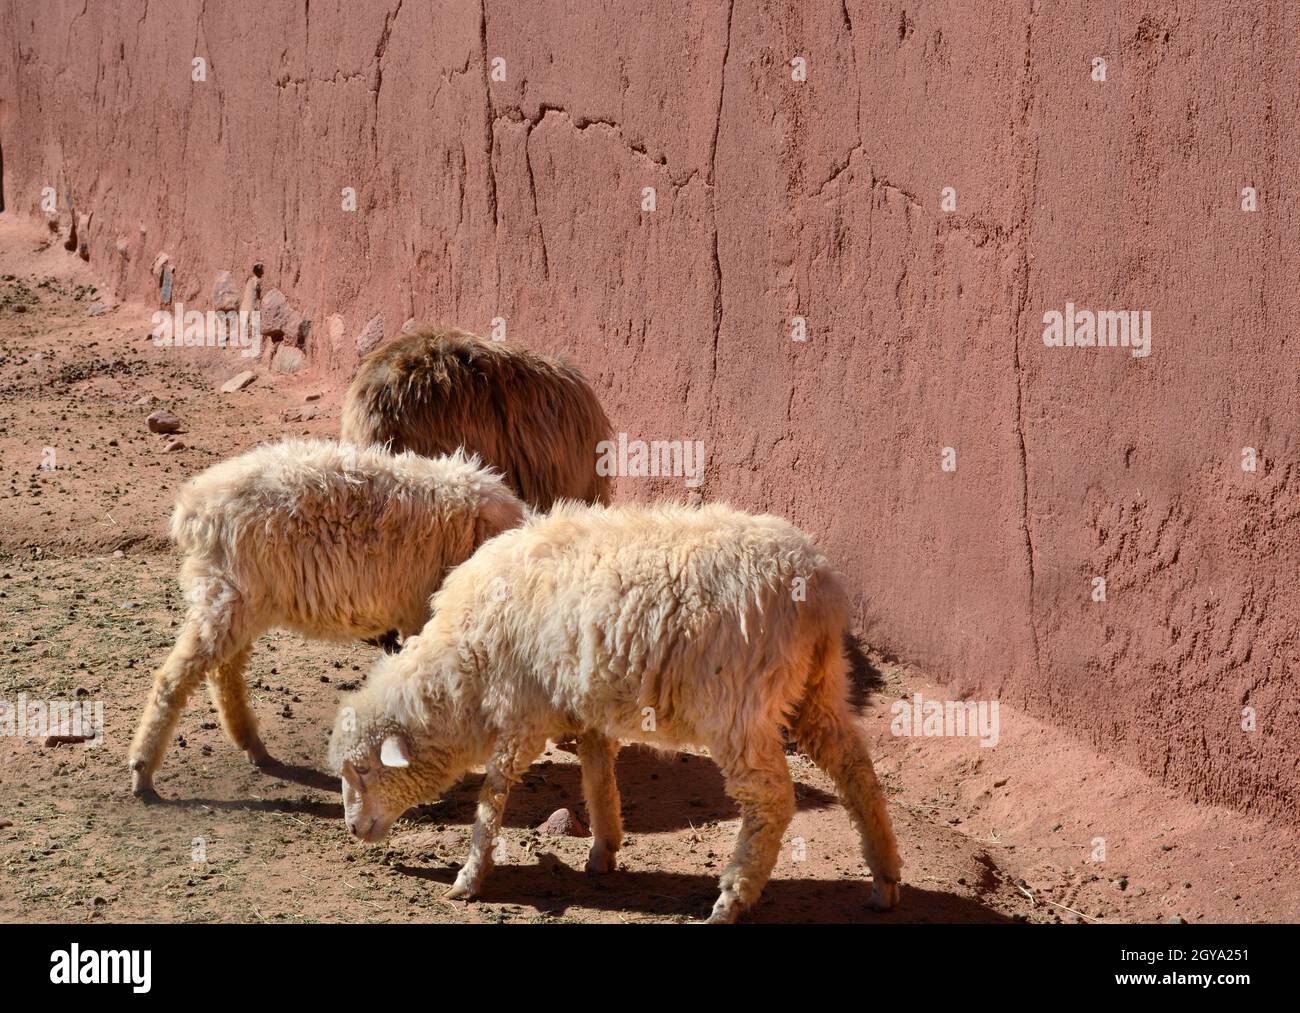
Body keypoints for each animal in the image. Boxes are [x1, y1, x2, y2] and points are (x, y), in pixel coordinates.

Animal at [126, 439, 522, 806]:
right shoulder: (426, 614)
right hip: (226, 596)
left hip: (237, 602)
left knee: (224, 673)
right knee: (176, 677)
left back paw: (253, 747)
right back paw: (143, 773)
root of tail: (195, 506)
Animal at [327, 501, 904, 920]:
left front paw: (470, 876)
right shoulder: (582, 709)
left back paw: (733, 897)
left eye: (364, 772)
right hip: (818, 691)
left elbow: (493, 797)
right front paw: (604, 849)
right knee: (857, 773)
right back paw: (886, 879)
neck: (463, 664)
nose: (352, 830)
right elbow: (597, 774)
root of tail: (819, 586)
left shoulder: (520, 713)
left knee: (772, 801)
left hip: (741, 709)